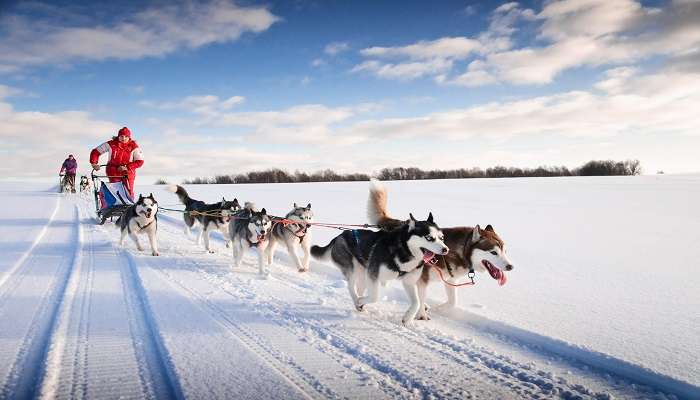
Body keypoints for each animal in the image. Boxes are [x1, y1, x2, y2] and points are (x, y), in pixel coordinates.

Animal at [312, 212, 448, 324]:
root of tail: (339, 236)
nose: (445, 249)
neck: (404, 250)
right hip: (353, 269)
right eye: (429, 238)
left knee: (359, 288)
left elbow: (417, 302)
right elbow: (375, 296)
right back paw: (357, 301)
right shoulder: (373, 275)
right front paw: (361, 301)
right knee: (351, 287)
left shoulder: (408, 281)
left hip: (363, 272)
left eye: (442, 238)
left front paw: (407, 318)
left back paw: (360, 304)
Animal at [366, 179, 516, 318]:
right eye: (493, 252)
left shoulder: (450, 281)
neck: (458, 252)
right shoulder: (422, 280)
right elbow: (421, 298)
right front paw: (421, 315)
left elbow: (452, 302)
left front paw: (436, 309)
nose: (510, 267)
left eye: (505, 251)